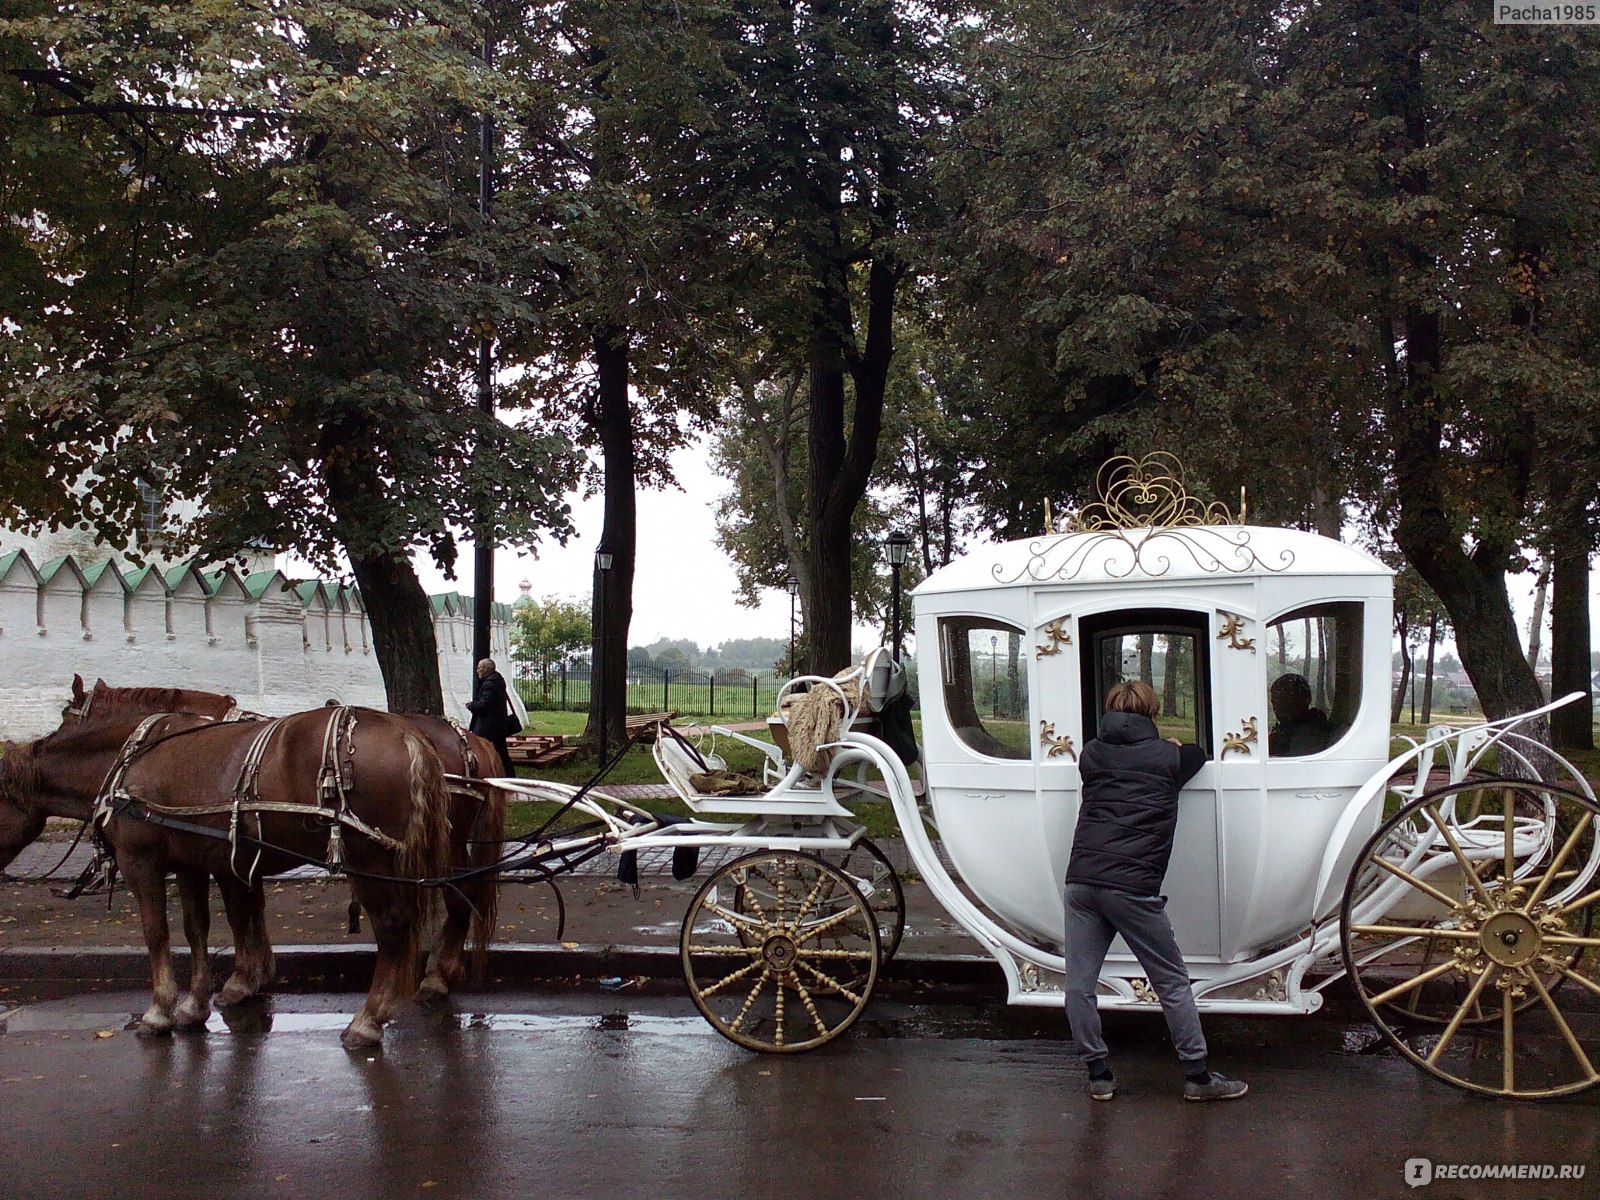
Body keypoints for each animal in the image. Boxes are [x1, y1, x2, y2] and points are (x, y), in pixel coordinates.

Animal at [1, 710, 451, 1049]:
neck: (132, 763)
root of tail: (407, 733)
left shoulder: (142, 861)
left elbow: (156, 932)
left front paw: (159, 1011)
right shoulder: (190, 863)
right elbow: (196, 928)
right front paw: (194, 1005)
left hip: (368, 859)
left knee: (391, 927)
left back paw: (367, 1020)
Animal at [62, 681, 502, 998]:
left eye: (67, 716)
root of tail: (467, 740)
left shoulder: (226, 853)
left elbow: (239, 911)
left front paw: (243, 978)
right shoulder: (243, 851)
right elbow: (251, 906)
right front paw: (257, 972)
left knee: (459, 896)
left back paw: (436, 975)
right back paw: (438, 970)